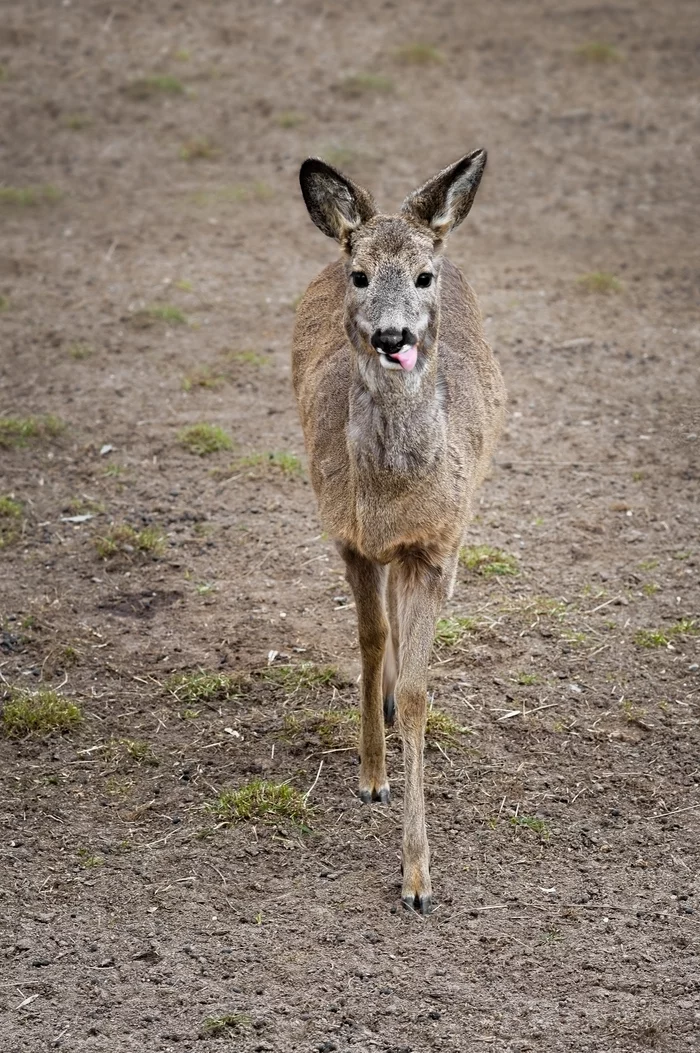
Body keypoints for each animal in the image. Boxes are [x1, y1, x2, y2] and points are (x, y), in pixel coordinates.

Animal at [292, 148, 505, 914]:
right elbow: (368, 638)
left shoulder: (439, 546)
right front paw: (370, 776)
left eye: (422, 276)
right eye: (359, 276)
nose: (393, 337)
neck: (392, 497)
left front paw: (418, 878)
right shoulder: (347, 533)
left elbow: (417, 692)